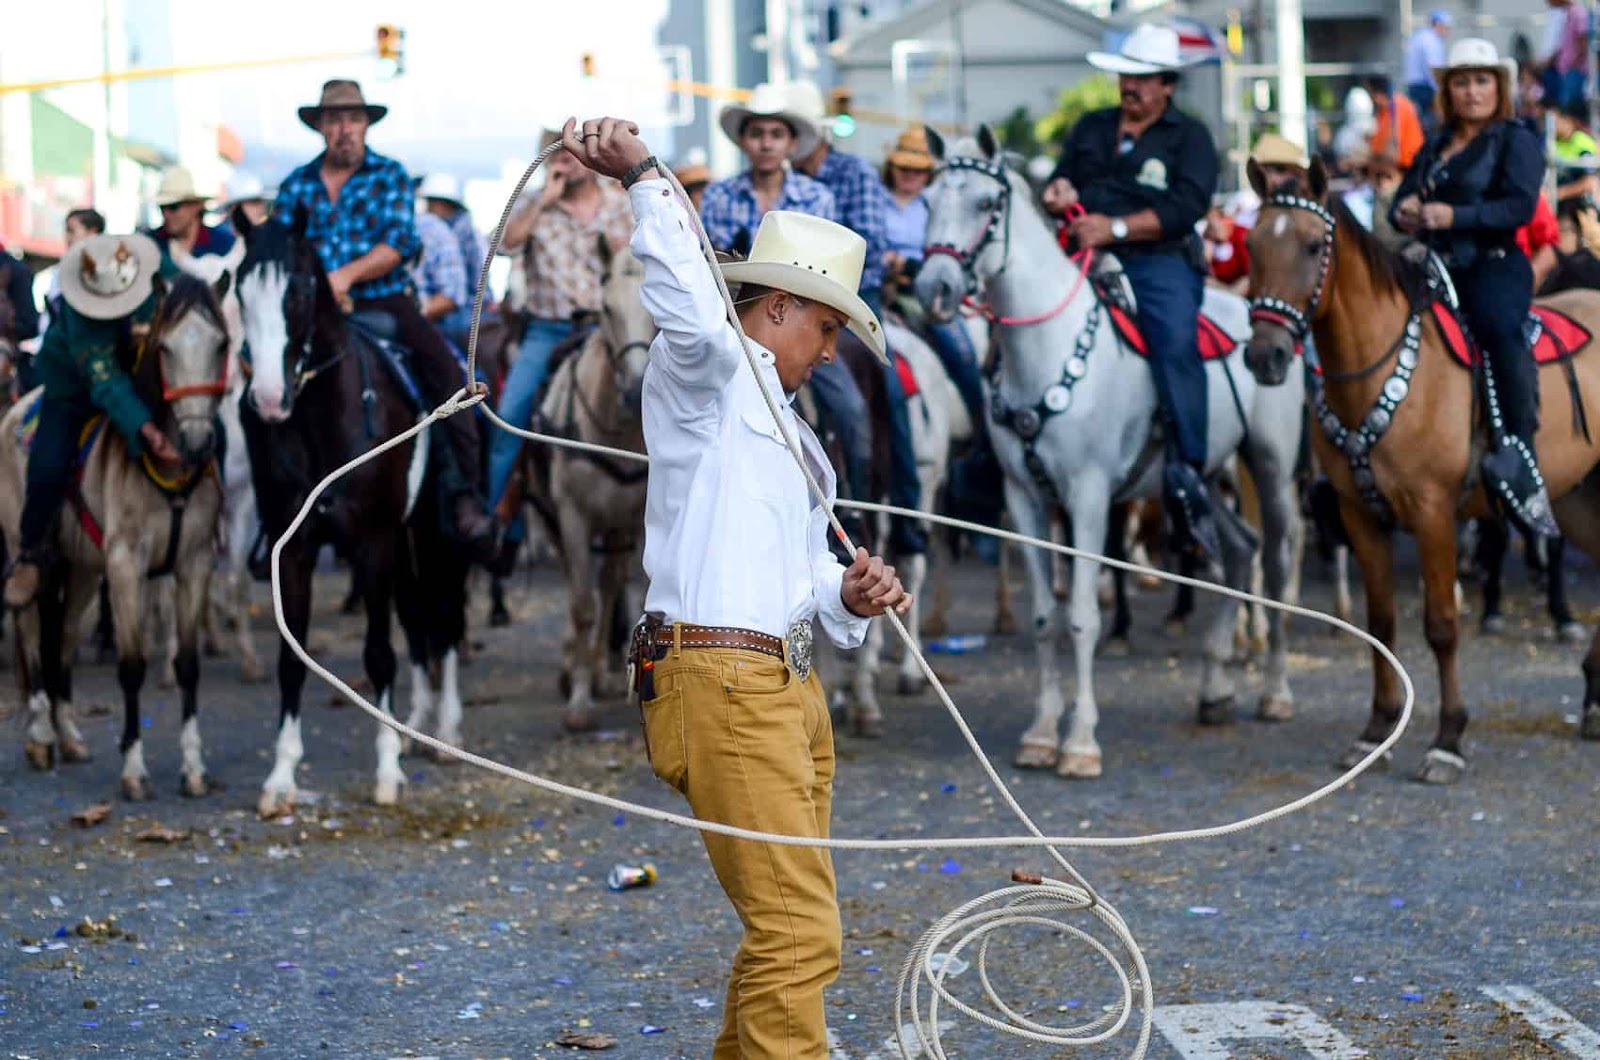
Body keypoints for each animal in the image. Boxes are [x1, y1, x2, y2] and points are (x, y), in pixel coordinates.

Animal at [0, 270, 233, 800]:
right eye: (165, 348)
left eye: (222, 344)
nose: (196, 442)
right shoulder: (126, 564)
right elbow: (131, 666)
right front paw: (134, 770)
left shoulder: (194, 563)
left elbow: (188, 666)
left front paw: (194, 769)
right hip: (29, 552)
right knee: (29, 629)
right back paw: (41, 736)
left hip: (83, 569)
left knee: (63, 636)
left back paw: (69, 735)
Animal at [233, 209, 467, 819]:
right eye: (239, 289)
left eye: (299, 290)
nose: (269, 399)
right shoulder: (291, 549)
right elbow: (291, 661)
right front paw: (280, 777)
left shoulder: (374, 541)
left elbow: (379, 654)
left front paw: (387, 771)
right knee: (418, 620)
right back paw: (417, 725)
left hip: (433, 537)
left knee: (446, 622)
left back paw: (446, 733)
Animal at [518, 244, 656, 736]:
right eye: (607, 309)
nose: (634, 389)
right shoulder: (573, 517)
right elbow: (580, 605)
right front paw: (578, 702)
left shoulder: (635, 523)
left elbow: (615, 593)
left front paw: (595, 677)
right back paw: (569, 664)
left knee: (610, 586)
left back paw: (597, 669)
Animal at [908, 130, 1305, 781]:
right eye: (929, 200)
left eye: (987, 205)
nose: (933, 288)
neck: (1045, 349)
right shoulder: (1025, 499)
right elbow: (1046, 619)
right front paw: (1042, 733)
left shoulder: (1089, 496)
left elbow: (1081, 618)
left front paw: (1080, 742)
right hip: (1199, 478)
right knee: (1239, 552)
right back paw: (1215, 689)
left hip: (1268, 465)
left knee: (1271, 559)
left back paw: (1274, 691)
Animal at [1241, 160, 1600, 787]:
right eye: (1253, 245)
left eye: (1312, 246)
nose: (1266, 356)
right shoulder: (1361, 515)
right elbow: (1382, 623)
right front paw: (1376, 731)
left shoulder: (1433, 513)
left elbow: (1441, 625)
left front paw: (1448, 740)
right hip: (1578, 496)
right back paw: (1594, 701)